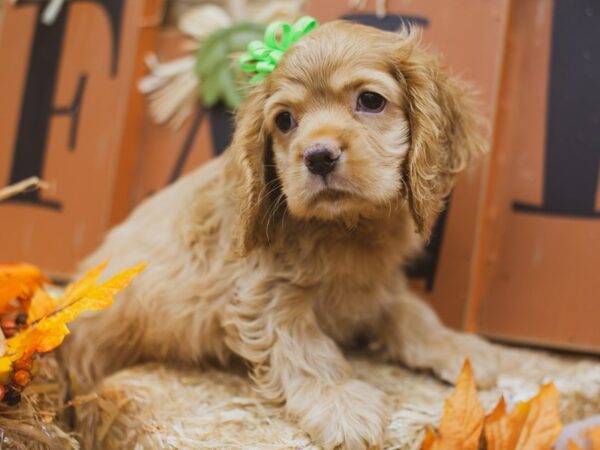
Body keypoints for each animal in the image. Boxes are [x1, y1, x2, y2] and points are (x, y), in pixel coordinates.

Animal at [64, 21, 502, 450]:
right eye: (285, 121)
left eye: (370, 100)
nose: (319, 156)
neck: (347, 228)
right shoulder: (265, 291)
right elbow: (304, 347)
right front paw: (341, 404)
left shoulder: (375, 285)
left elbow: (412, 313)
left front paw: (459, 348)